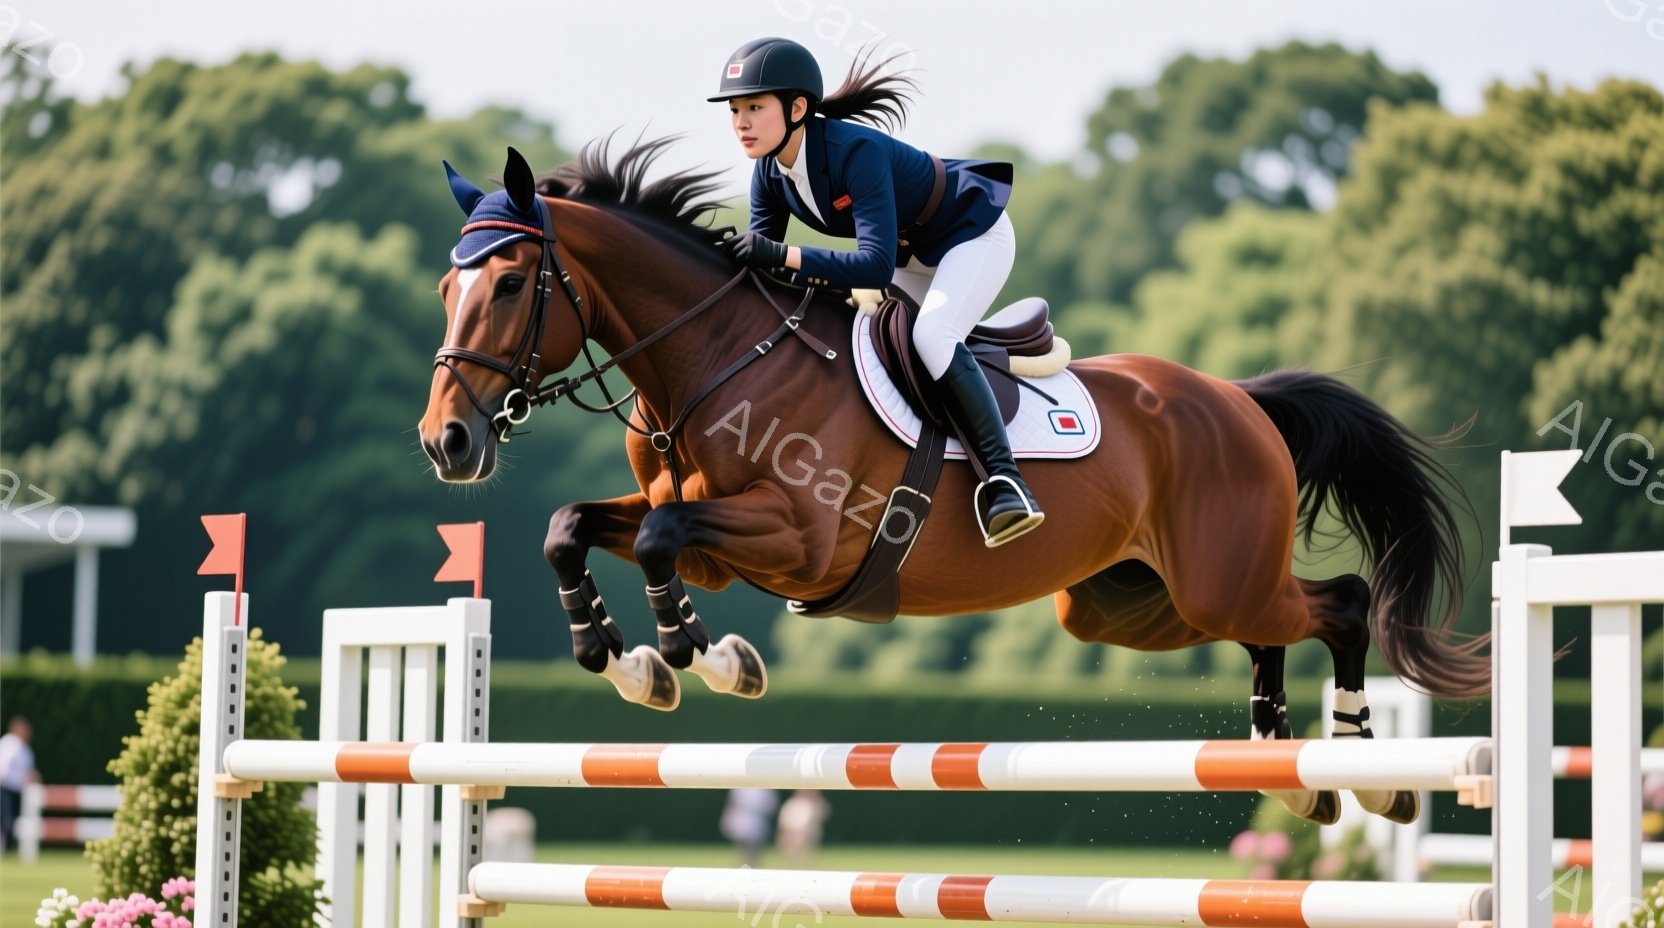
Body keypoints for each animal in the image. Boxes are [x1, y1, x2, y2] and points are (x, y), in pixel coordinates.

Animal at [417, 142, 1487, 827]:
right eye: (445, 288)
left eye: (508, 284)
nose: (447, 442)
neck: (715, 355)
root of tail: (1238, 398)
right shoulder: (711, 534)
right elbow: (576, 526)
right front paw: (624, 658)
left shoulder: (797, 538)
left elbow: (654, 542)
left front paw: (698, 656)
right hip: (1129, 604)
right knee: (1273, 625)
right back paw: (1288, 769)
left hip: (1212, 578)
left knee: (1339, 603)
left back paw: (1366, 771)